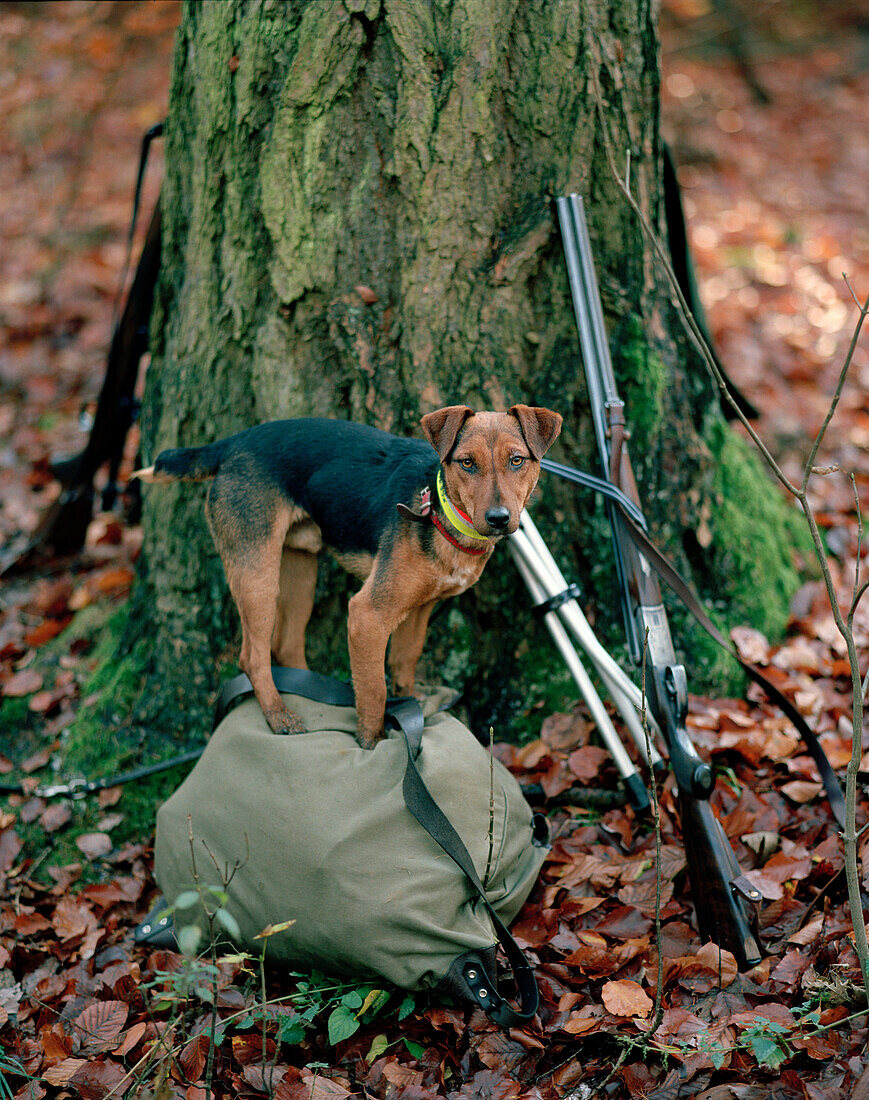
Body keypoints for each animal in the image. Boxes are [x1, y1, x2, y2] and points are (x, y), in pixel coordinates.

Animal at [133, 404, 561, 748]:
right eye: (467, 463)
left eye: (517, 460)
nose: (499, 519)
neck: (440, 510)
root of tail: (232, 443)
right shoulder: (368, 615)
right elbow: (373, 691)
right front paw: (372, 743)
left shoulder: (419, 610)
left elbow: (403, 665)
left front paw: (410, 707)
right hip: (256, 569)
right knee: (253, 656)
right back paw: (280, 716)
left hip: (301, 571)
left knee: (287, 645)